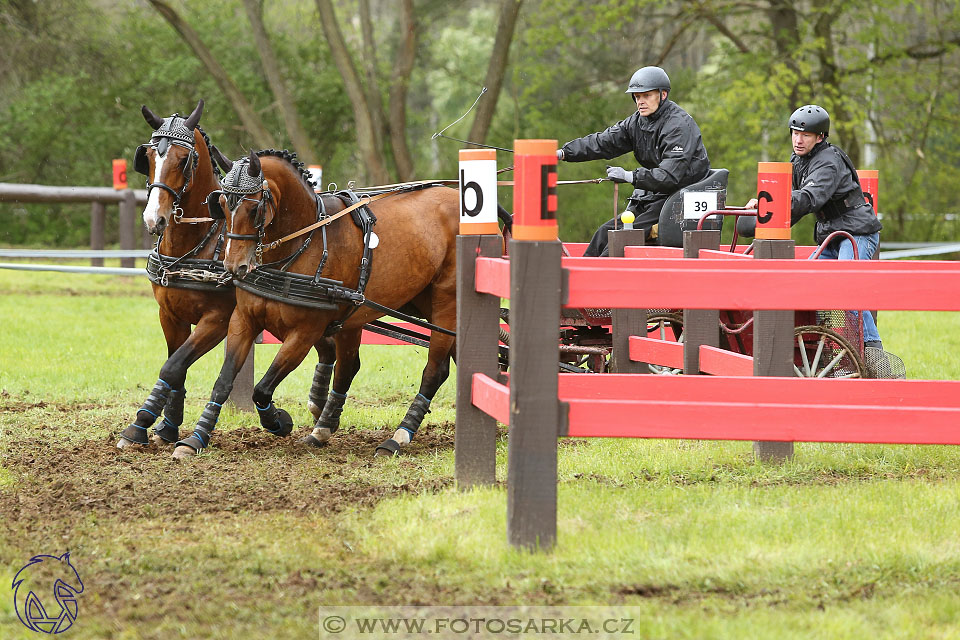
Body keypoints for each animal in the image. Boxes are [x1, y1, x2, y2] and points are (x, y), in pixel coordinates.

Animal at [117, 101, 338, 450]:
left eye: (183, 159)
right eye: (149, 157)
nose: (155, 219)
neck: (199, 242)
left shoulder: (218, 320)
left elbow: (174, 365)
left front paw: (141, 424)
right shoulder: (170, 315)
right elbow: (176, 368)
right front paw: (167, 425)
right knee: (328, 346)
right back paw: (318, 409)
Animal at [173, 149, 468, 460]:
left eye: (254, 210)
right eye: (221, 206)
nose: (234, 267)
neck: (303, 243)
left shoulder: (305, 332)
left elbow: (262, 389)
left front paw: (278, 421)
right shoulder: (244, 320)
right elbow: (223, 381)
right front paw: (195, 439)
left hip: (447, 304)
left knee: (434, 372)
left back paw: (398, 437)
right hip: (411, 306)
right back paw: (324, 429)